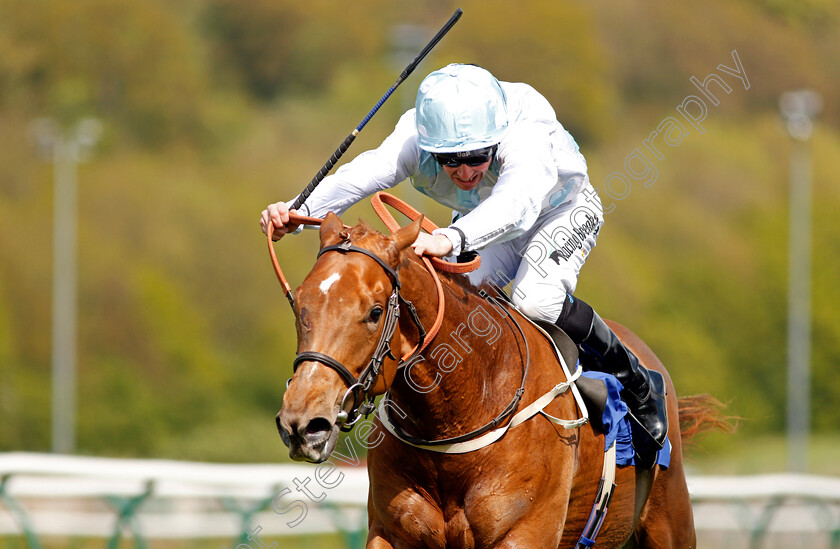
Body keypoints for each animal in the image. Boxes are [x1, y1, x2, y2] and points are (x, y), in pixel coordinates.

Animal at [274, 208, 716, 544]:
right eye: (298, 302)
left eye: (375, 311)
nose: (302, 424)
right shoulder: (392, 533)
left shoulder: (523, 534)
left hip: (670, 523)